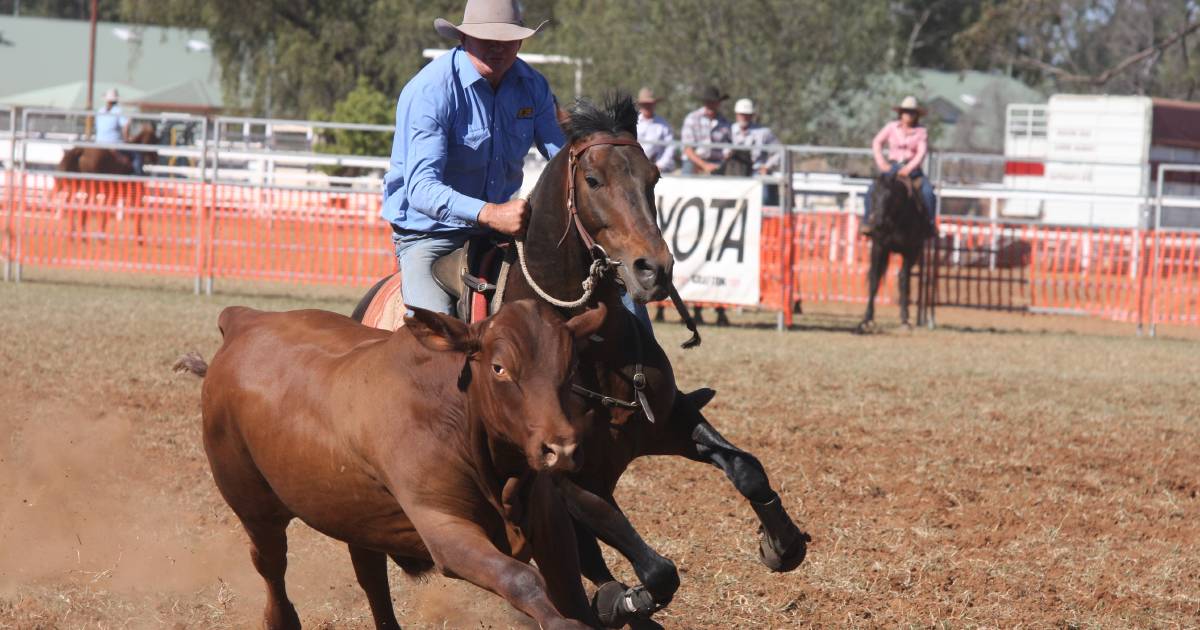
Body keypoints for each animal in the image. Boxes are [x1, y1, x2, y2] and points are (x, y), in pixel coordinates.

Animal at [350, 96, 811, 624]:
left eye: (654, 177)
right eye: (592, 180)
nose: (653, 269)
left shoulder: (668, 418)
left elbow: (746, 467)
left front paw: (783, 544)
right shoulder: (565, 478)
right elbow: (652, 568)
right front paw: (625, 600)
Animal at [854, 169, 936, 331]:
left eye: (890, 196)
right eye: (873, 195)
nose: (877, 222)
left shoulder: (910, 251)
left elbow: (904, 281)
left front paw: (905, 319)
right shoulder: (879, 246)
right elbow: (874, 279)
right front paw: (867, 319)